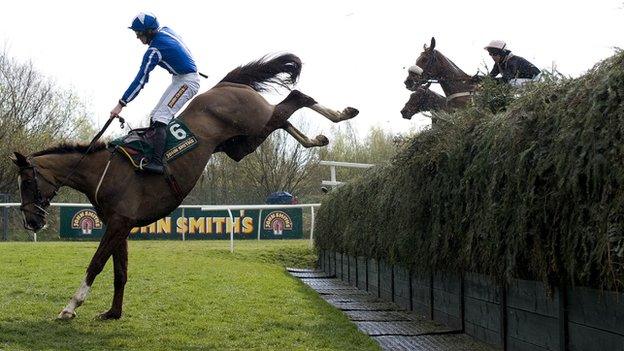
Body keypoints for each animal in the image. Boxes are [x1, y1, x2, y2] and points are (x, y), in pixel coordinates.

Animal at [12, 53, 358, 320]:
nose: (31, 221)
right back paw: (317, 138)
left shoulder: (118, 223)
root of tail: (224, 84)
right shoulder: (119, 224)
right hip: (242, 143)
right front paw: (113, 313)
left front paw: (70, 307)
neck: (102, 171)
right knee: (284, 117)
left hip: (254, 120)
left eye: (27, 181)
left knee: (296, 97)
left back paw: (342, 113)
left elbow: (96, 265)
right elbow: (119, 272)